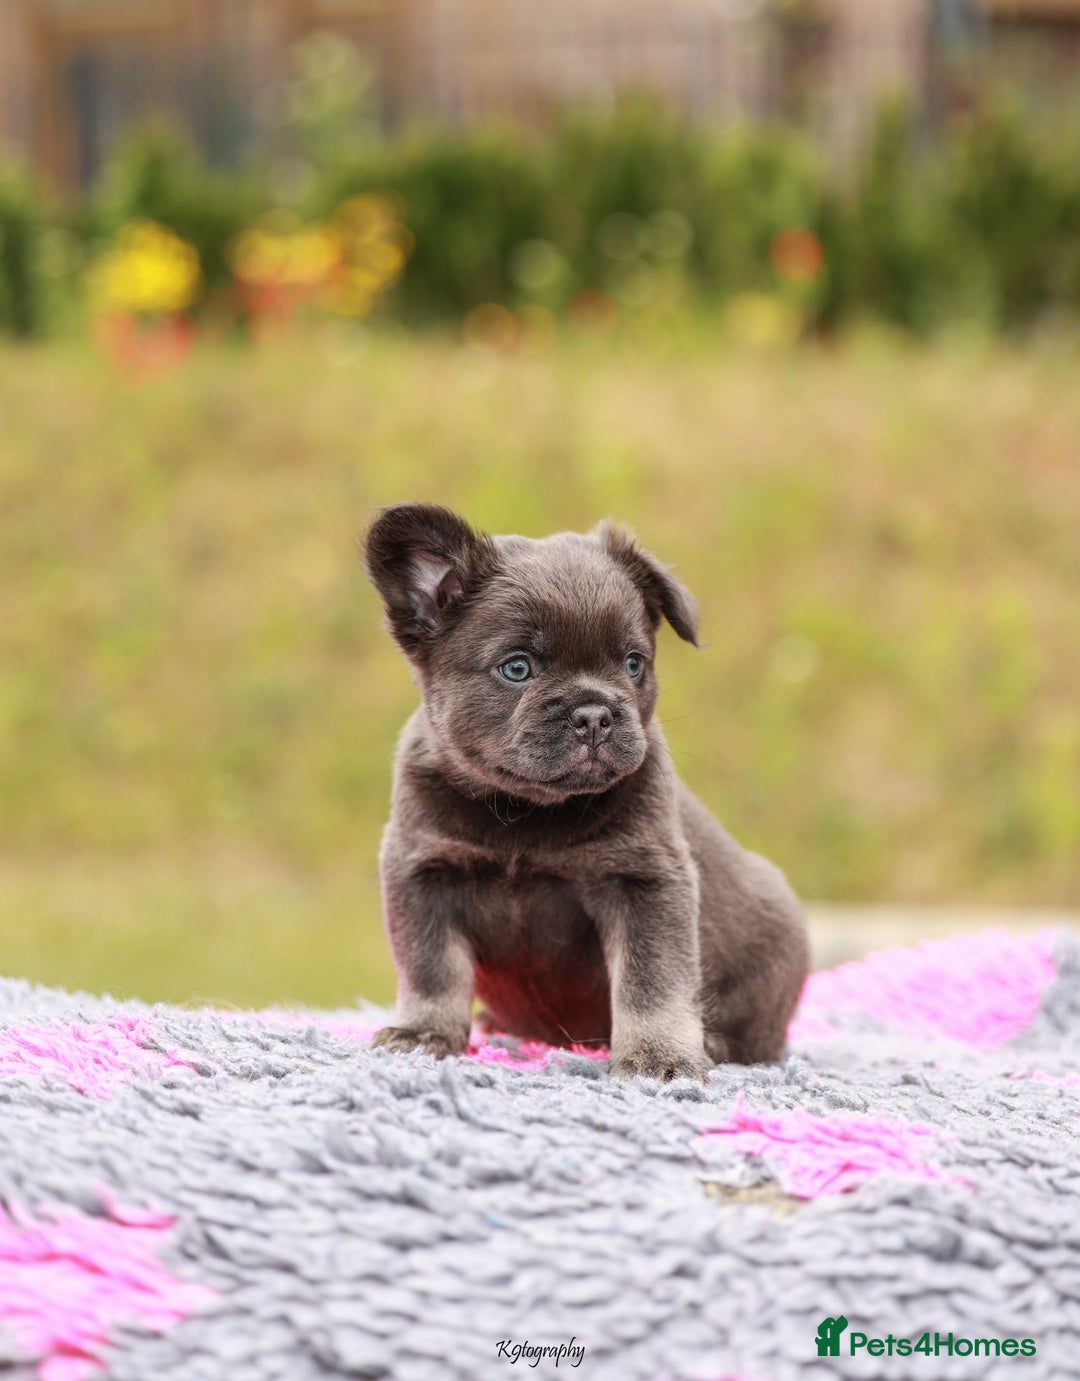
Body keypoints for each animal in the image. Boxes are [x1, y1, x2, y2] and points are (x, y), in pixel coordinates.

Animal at [363, 503, 808, 1080]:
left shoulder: (644, 883)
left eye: (633, 664)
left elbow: (651, 983)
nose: (595, 713)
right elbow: (431, 969)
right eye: (517, 668)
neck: (526, 809)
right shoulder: (424, 876)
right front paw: (424, 1032)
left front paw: (659, 1055)